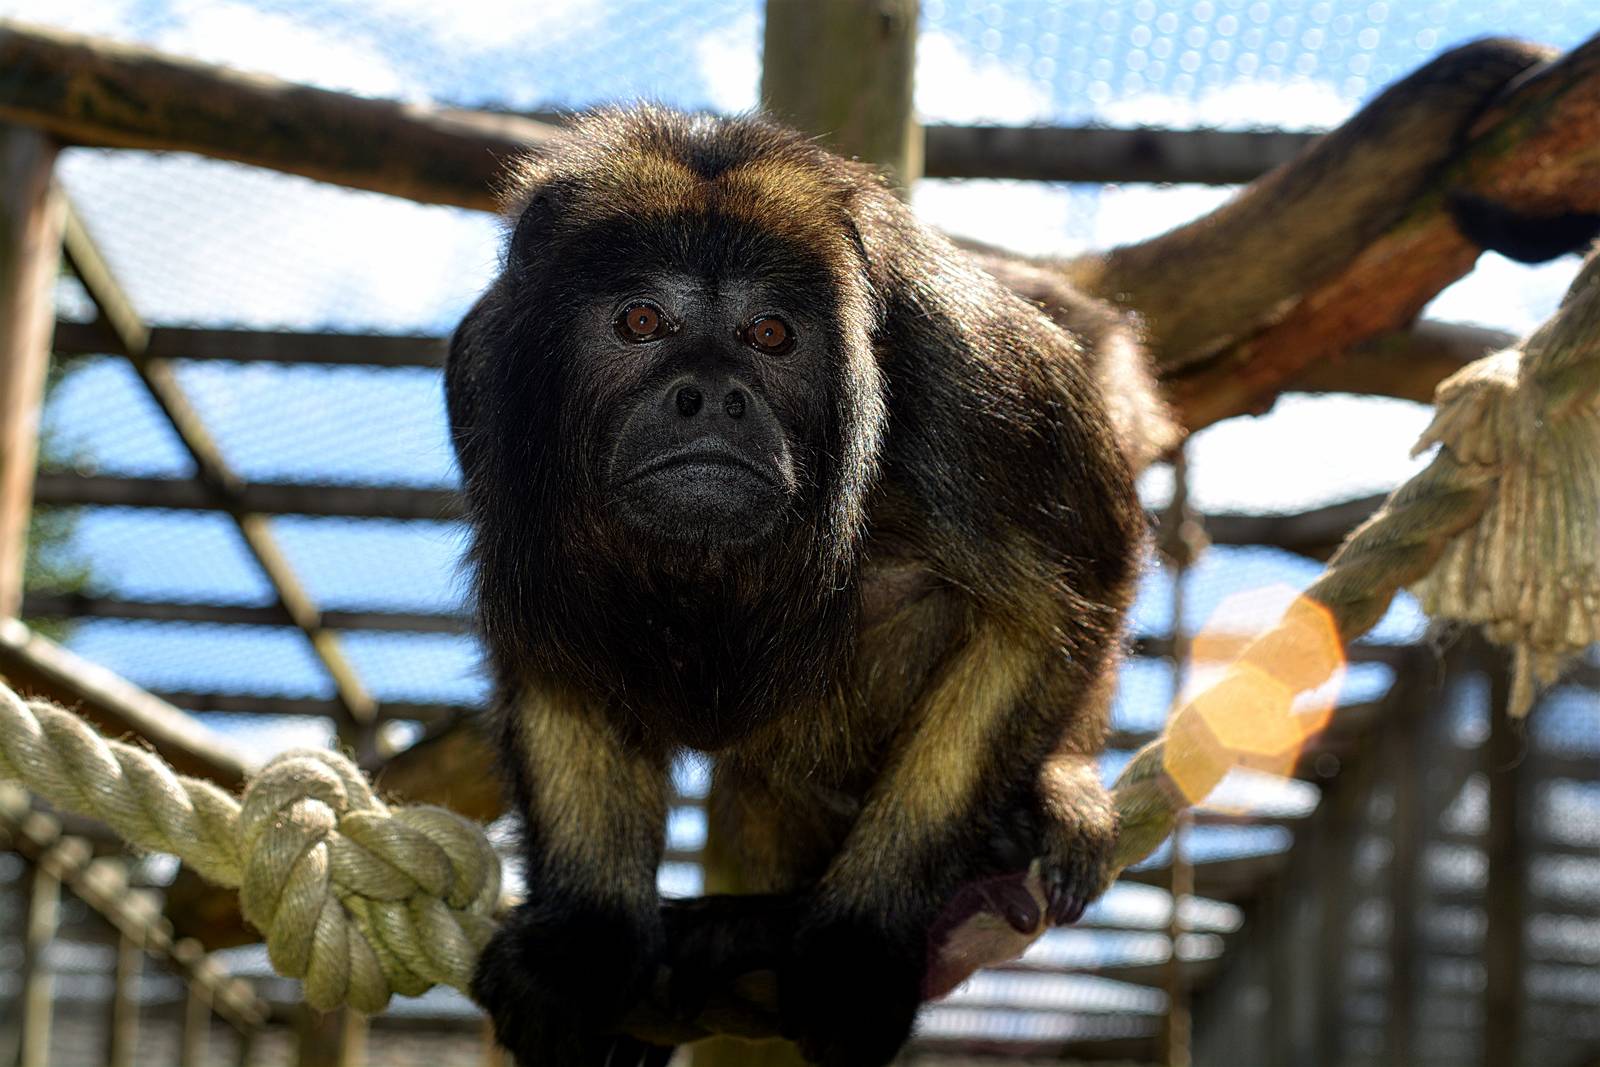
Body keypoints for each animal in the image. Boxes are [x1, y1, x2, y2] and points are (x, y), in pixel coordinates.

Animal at [446, 106, 1166, 1067]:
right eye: (641, 319)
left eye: (771, 335)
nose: (711, 395)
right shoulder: (483, 381)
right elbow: (556, 644)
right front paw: (583, 943)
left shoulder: (971, 380)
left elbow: (1062, 595)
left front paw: (854, 946)